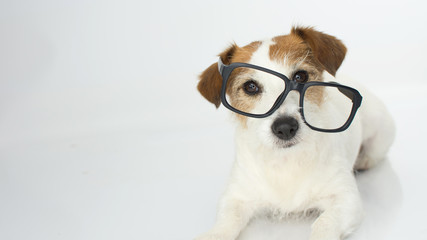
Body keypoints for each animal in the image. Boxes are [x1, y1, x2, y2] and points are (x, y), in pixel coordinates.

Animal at [196, 26, 396, 240]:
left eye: (300, 76)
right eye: (250, 87)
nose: (285, 127)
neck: (287, 160)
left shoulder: (346, 200)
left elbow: (324, 223)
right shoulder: (235, 197)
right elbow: (226, 221)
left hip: (380, 132)